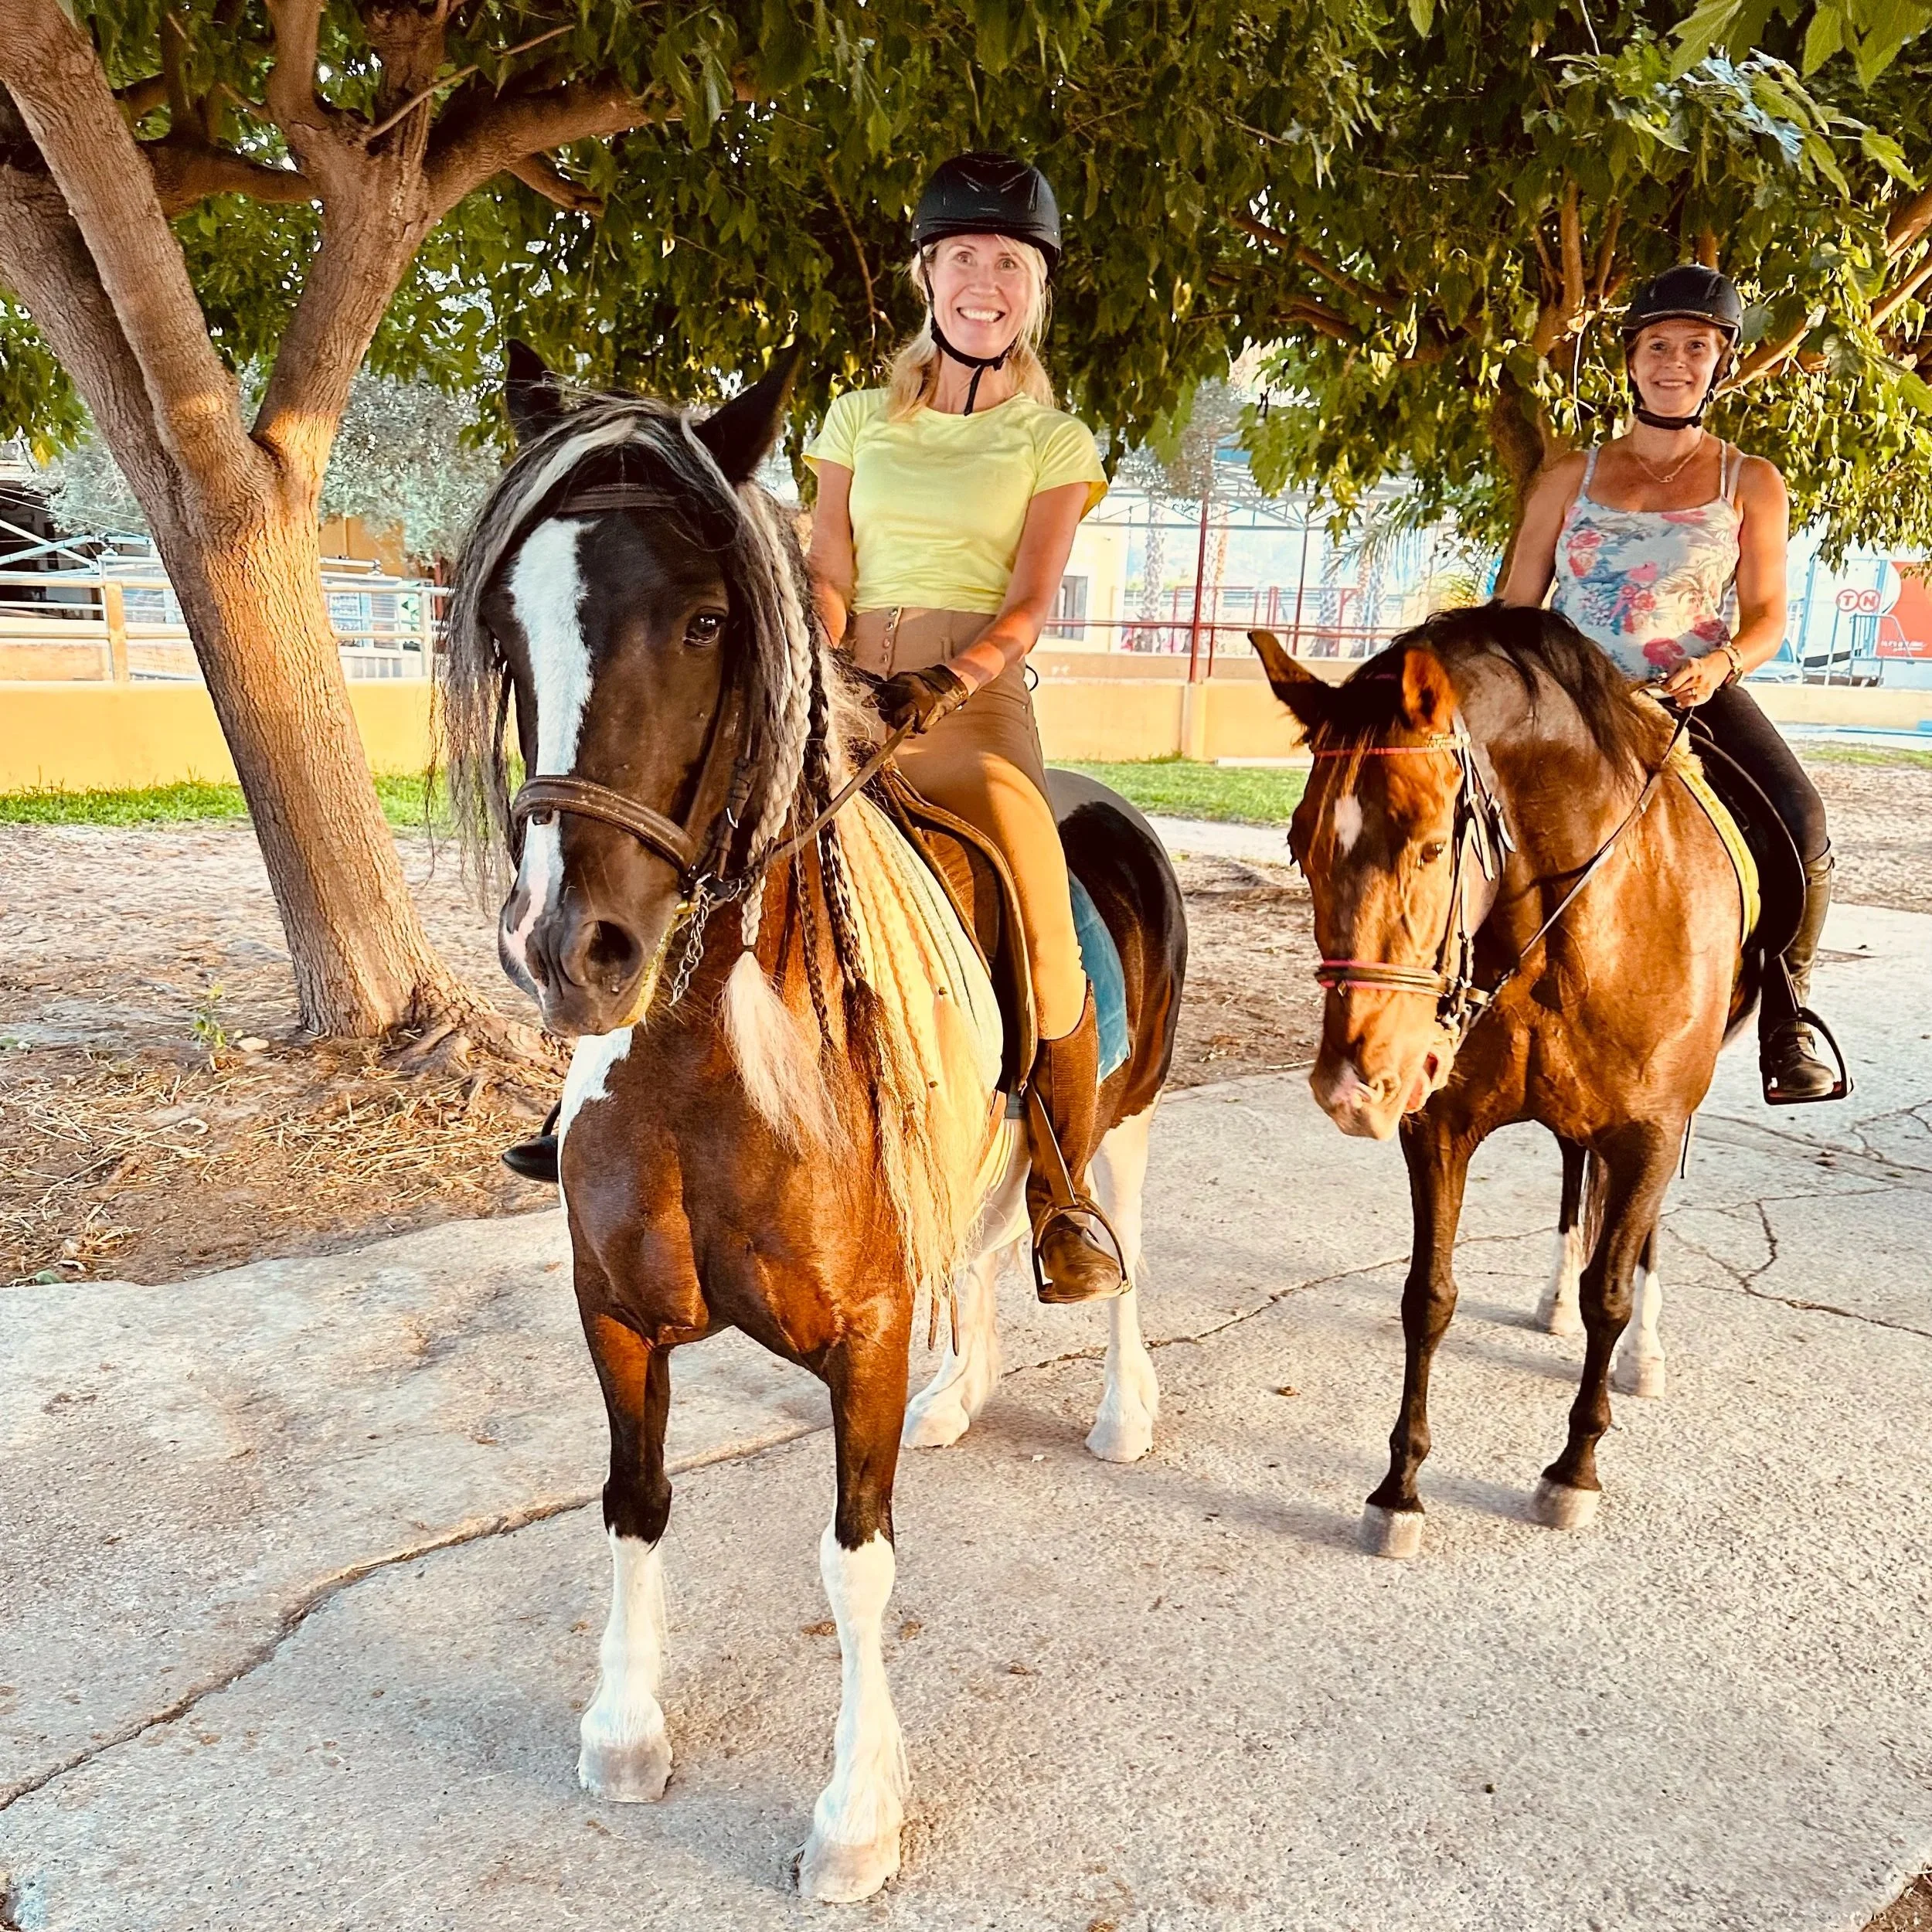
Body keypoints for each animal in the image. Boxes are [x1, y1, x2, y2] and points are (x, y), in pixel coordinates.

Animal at [441, 346, 1186, 1902]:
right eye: (505, 623)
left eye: (708, 618)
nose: (568, 950)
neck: (705, 1072)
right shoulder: (617, 1318)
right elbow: (634, 1503)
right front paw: (624, 1732)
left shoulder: (863, 1338)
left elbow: (856, 1562)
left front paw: (856, 1816)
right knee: (983, 1244)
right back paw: (965, 1397)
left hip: (1127, 1125)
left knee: (1120, 1256)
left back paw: (1121, 1413)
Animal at [1249, 608, 1750, 1558]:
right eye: (1299, 847)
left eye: (1432, 844)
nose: (1351, 1090)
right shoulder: (1438, 1129)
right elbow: (1429, 1296)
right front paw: (1400, 1489)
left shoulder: (1650, 1129)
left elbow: (1610, 1294)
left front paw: (1573, 1470)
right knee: (1572, 1176)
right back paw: (1551, 1299)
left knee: (1634, 1238)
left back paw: (1642, 1356)